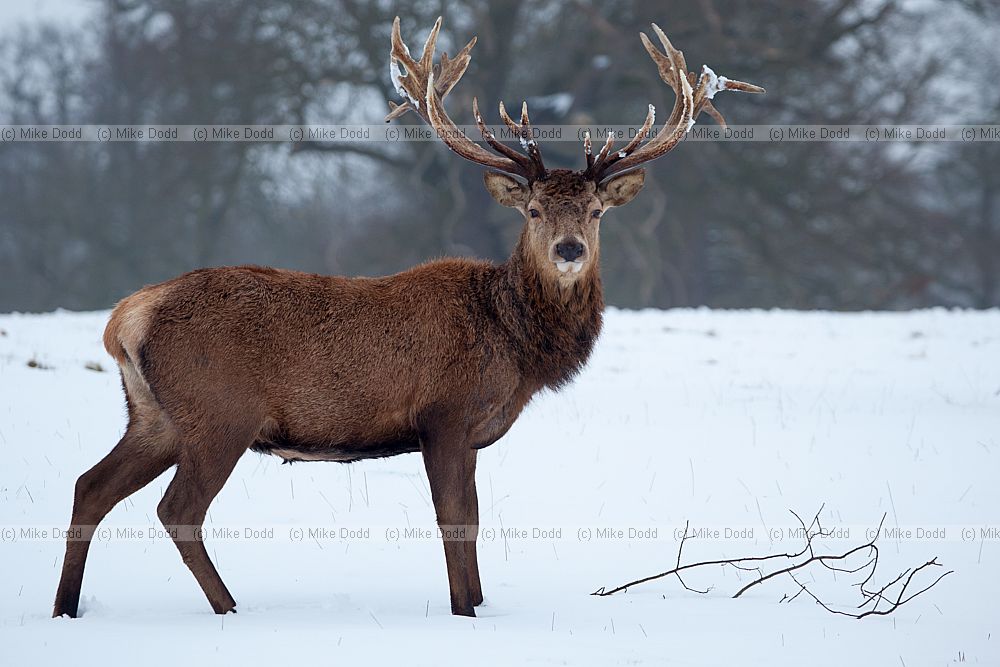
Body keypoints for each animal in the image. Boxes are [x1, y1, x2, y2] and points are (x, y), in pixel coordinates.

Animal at [53, 16, 762, 619]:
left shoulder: (469, 432)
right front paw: (463, 611)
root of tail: (126, 319)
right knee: (177, 508)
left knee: (91, 485)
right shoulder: (443, 415)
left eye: (594, 211)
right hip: (218, 413)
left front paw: (477, 603)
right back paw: (227, 607)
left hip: (154, 415)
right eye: (534, 210)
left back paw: (66, 609)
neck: (514, 344)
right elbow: (455, 517)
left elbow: (473, 516)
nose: (569, 250)